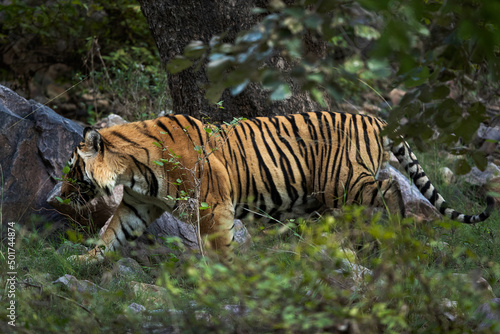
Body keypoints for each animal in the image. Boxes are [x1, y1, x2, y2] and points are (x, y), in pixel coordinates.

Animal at [60, 111, 494, 262]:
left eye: (72, 170)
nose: (57, 195)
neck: (131, 170)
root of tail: (375, 118)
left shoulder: (213, 205)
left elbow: (219, 246)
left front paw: (225, 279)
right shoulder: (137, 205)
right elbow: (111, 236)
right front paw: (81, 263)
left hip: (344, 181)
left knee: (391, 189)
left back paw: (395, 231)